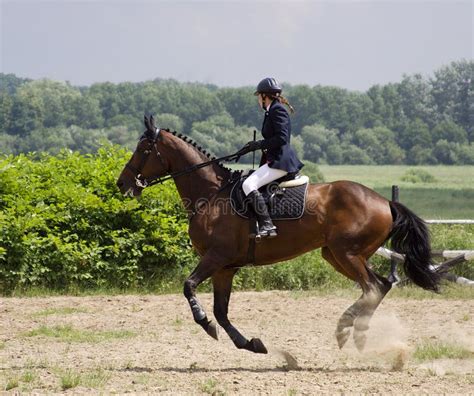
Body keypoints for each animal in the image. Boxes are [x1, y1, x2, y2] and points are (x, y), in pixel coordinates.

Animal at [115, 116, 440, 354]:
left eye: (144, 150)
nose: (122, 184)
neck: (211, 194)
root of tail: (385, 201)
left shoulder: (216, 257)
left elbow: (189, 287)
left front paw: (205, 324)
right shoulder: (225, 267)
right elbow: (221, 310)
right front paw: (250, 344)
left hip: (347, 253)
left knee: (372, 288)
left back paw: (348, 330)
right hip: (337, 254)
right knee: (380, 286)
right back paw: (352, 332)